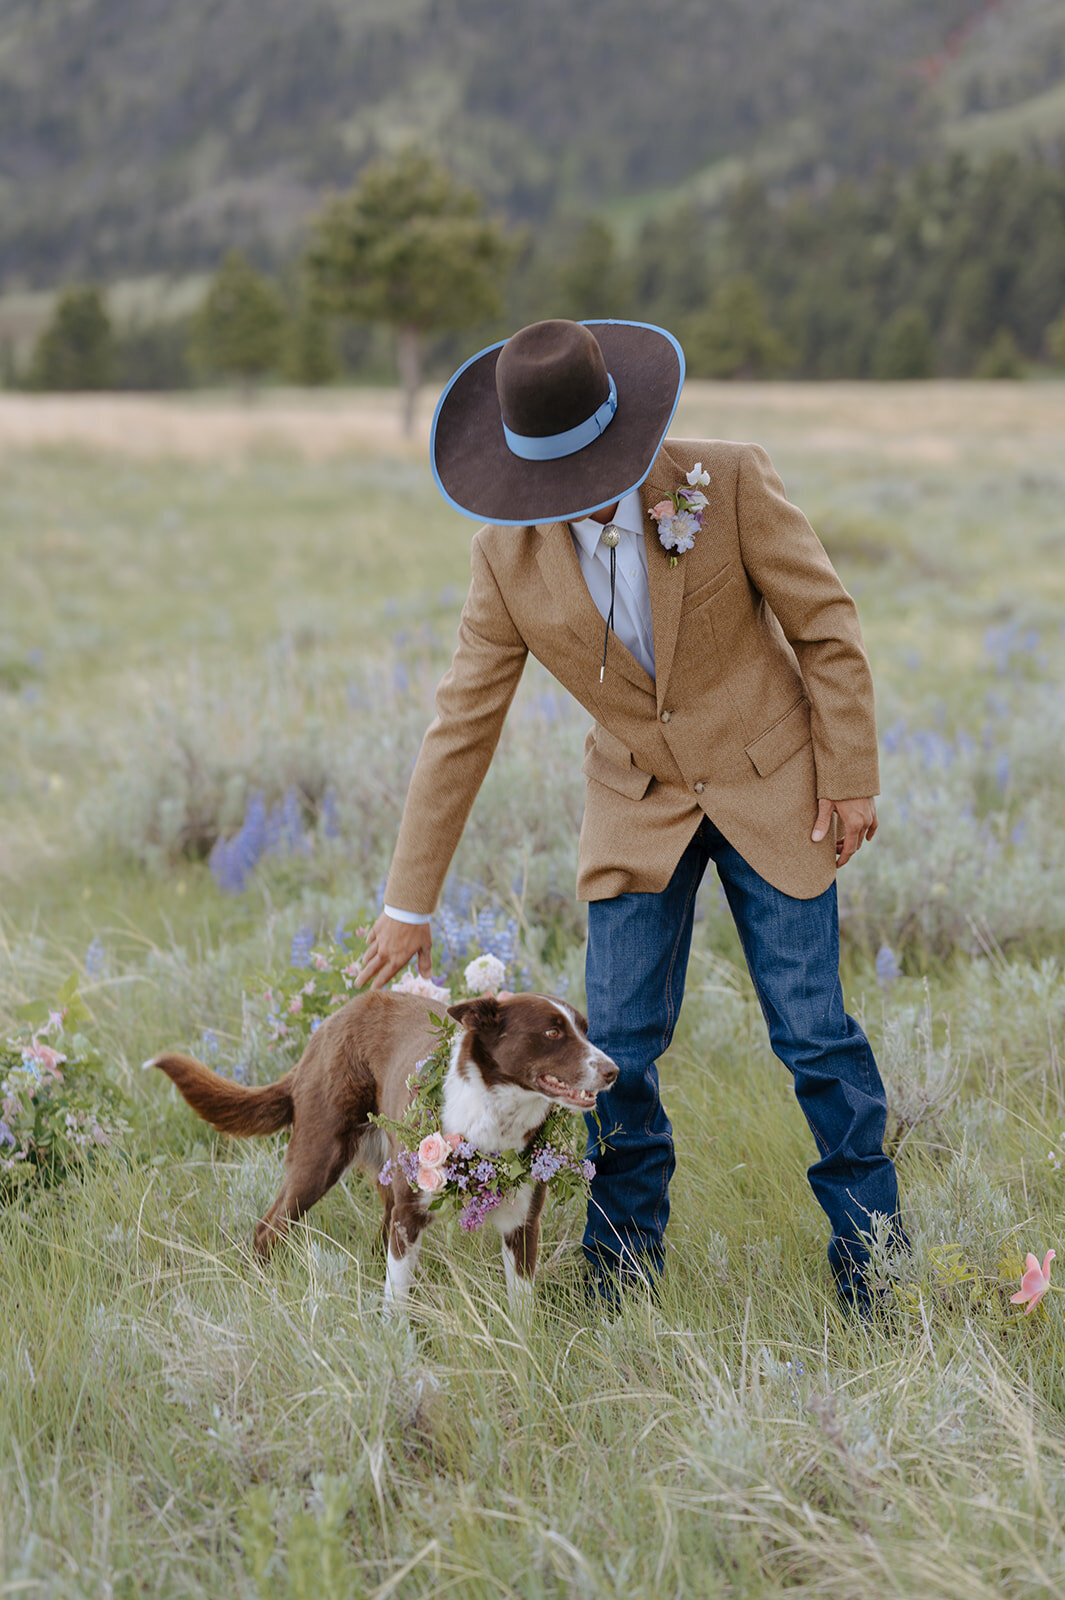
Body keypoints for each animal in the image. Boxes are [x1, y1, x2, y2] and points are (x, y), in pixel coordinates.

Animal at [149, 985, 614, 1312]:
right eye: (552, 1032)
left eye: (585, 1030)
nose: (613, 1070)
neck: (494, 1117)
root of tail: (327, 1027)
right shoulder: (412, 1213)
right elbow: (397, 1297)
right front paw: (397, 1346)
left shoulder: (521, 1224)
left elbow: (520, 1305)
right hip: (318, 1159)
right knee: (269, 1229)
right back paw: (257, 1287)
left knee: (378, 1233)